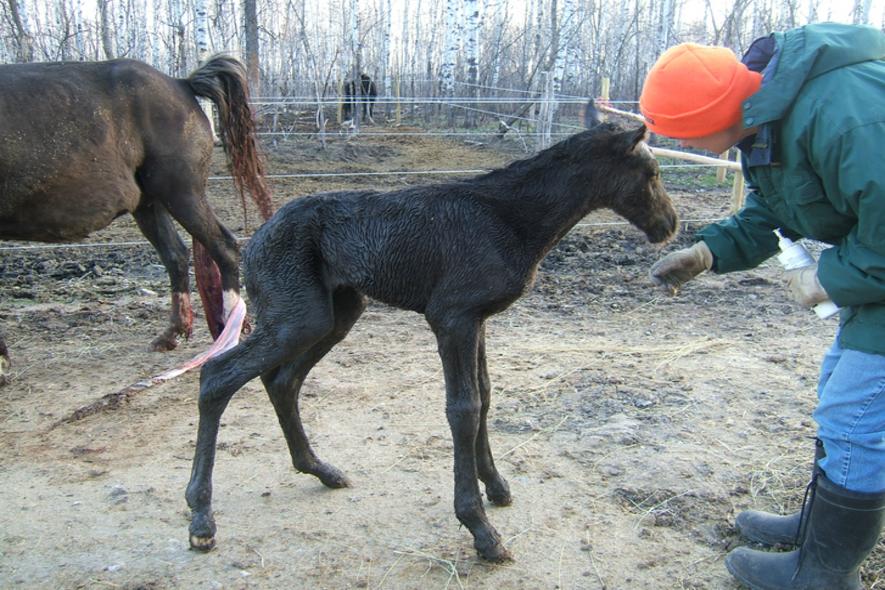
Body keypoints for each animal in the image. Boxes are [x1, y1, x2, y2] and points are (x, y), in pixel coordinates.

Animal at [0, 55, 273, 385]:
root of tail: (181, 84)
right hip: (149, 203)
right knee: (175, 255)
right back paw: (173, 334)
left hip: (180, 193)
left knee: (223, 247)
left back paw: (228, 331)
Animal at [184, 122, 678, 561]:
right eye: (651, 173)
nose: (670, 225)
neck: (511, 220)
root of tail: (252, 243)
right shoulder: (451, 317)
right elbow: (463, 408)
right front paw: (480, 529)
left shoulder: (477, 319)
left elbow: (485, 395)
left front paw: (495, 486)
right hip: (297, 318)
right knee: (217, 376)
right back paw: (201, 517)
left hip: (334, 315)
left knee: (281, 381)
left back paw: (320, 470)